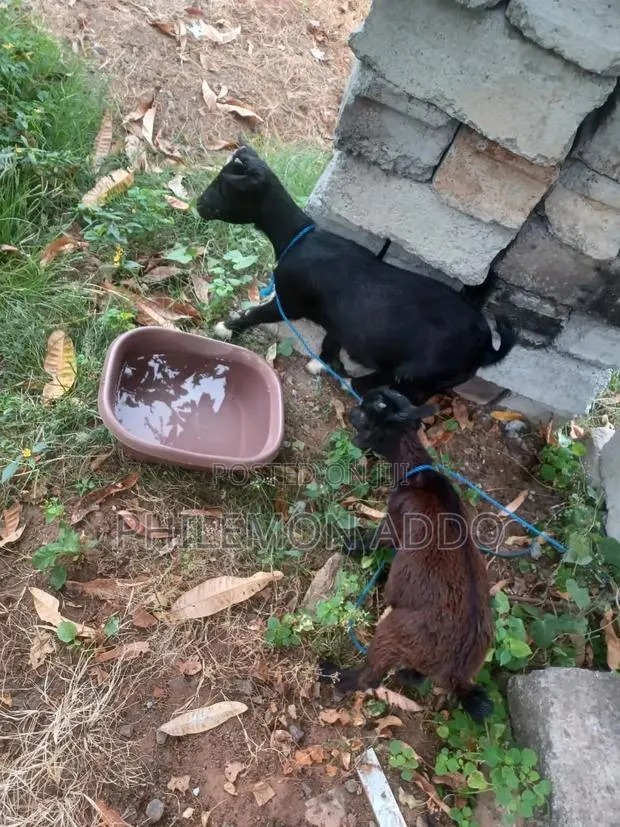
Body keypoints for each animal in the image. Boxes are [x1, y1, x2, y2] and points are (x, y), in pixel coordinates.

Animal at [196, 146, 516, 404]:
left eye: (224, 186)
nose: (199, 205)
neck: (298, 237)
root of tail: (487, 347)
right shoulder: (339, 322)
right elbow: (331, 342)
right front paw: (323, 363)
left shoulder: (291, 301)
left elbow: (258, 313)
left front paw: (226, 327)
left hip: (420, 373)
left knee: (406, 391)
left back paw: (353, 385)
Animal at [320, 388, 494, 723]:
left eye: (366, 412)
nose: (349, 410)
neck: (418, 475)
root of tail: (457, 670)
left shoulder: (394, 523)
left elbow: (375, 539)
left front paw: (352, 545)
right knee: (416, 677)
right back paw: (404, 676)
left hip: (393, 633)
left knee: (370, 677)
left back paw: (333, 673)